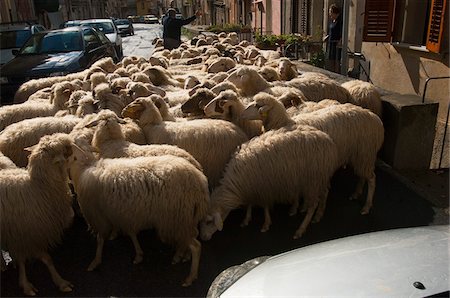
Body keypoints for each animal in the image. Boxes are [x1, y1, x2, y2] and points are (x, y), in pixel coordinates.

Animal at [0, 133, 75, 296]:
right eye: (65, 152)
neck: (38, 187)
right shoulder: (24, 233)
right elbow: (29, 259)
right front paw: (26, 285)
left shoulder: (33, 234)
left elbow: (47, 259)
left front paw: (60, 282)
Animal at [69, 140, 210, 286]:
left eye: (73, 157)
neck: (86, 170)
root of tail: (200, 181)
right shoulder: (125, 213)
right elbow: (131, 233)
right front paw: (138, 254)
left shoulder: (99, 216)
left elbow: (100, 239)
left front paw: (95, 261)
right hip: (185, 217)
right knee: (192, 235)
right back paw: (182, 255)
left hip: (176, 218)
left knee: (196, 246)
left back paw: (190, 277)